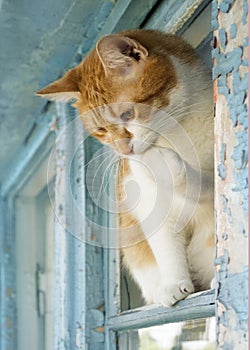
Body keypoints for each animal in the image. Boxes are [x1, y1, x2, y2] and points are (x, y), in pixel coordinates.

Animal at [36, 30, 214, 306]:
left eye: (128, 114)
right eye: (101, 130)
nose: (124, 151)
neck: (177, 134)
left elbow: (199, 183)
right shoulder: (152, 206)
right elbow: (166, 249)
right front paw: (173, 284)